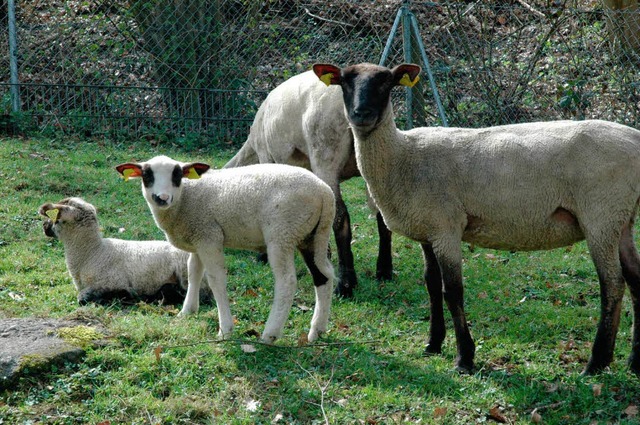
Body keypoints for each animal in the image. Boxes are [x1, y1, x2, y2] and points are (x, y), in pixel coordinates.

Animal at [38, 195, 210, 304]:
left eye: (56, 218)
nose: (44, 226)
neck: (92, 253)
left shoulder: (111, 283)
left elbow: (83, 298)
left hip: (186, 275)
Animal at [115, 155, 336, 342]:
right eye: (147, 175)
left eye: (176, 175)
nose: (162, 198)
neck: (185, 197)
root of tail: (324, 192)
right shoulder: (198, 238)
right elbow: (193, 273)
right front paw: (187, 311)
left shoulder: (209, 236)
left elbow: (216, 280)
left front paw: (225, 330)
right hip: (313, 235)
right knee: (323, 276)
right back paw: (317, 330)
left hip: (282, 233)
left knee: (287, 282)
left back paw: (269, 334)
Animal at [225, 69, 396, 296]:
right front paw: (323, 254)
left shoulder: (266, 158)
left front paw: (262, 256)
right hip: (377, 156)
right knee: (381, 213)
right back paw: (384, 272)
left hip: (326, 153)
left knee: (341, 216)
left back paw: (345, 284)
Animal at [312, 61, 640, 372]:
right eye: (344, 81)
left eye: (386, 83)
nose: (361, 114)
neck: (403, 156)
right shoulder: (427, 230)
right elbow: (432, 285)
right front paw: (433, 344)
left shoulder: (447, 227)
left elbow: (453, 291)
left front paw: (464, 358)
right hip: (623, 219)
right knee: (636, 279)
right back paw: (633, 360)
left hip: (601, 214)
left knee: (613, 285)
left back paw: (596, 363)